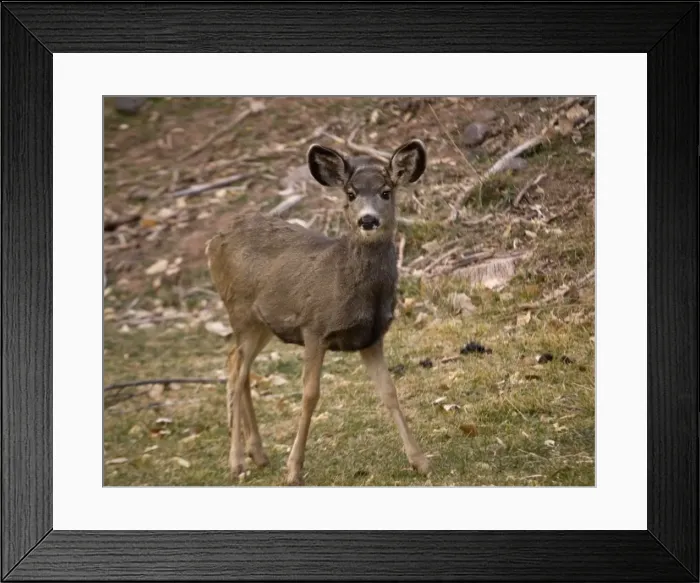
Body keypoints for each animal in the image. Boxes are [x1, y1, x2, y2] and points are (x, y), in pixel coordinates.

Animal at [205, 138, 430, 485]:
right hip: (239, 310)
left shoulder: (371, 338)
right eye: (350, 193)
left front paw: (419, 460)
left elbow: (389, 391)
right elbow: (310, 394)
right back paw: (237, 461)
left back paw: (258, 454)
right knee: (237, 371)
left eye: (386, 192)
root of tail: (212, 243)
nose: (368, 220)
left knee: (236, 364)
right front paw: (294, 469)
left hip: (262, 324)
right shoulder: (314, 328)